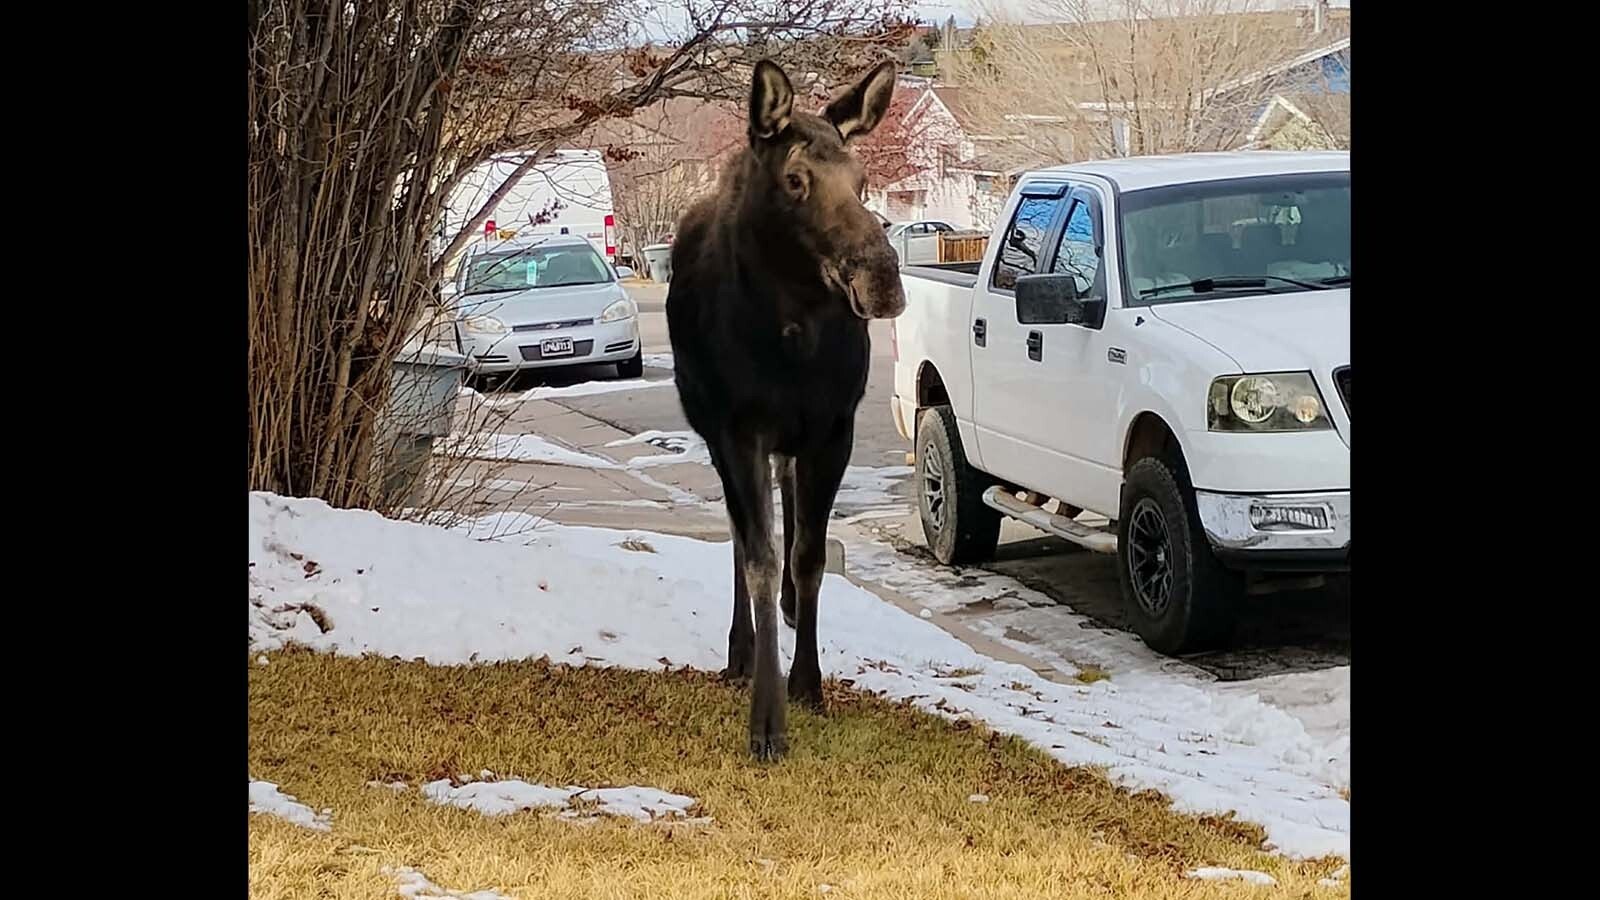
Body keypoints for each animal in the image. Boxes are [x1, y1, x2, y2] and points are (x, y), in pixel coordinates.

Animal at [665, 59, 906, 761]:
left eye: (862, 179)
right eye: (796, 179)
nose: (883, 278)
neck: (792, 336)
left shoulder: (833, 430)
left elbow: (810, 557)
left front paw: (809, 682)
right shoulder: (735, 430)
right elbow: (761, 559)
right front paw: (766, 720)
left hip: (793, 443)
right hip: (718, 433)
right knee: (739, 536)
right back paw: (740, 650)